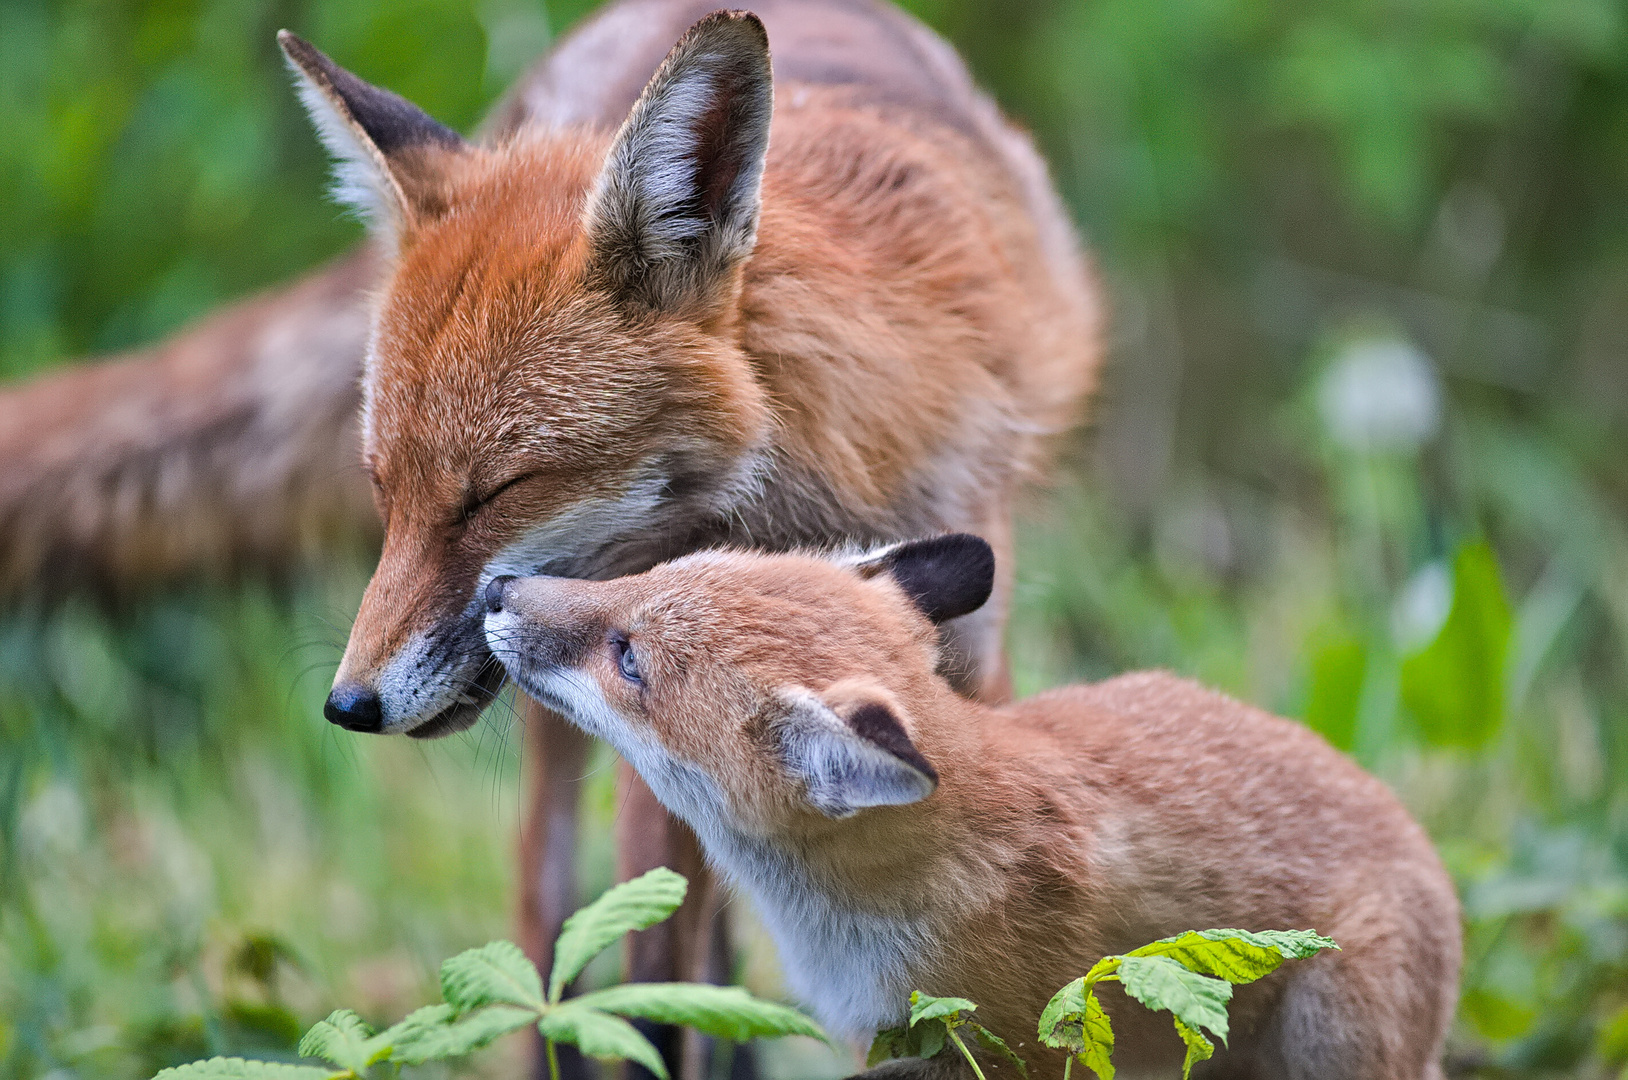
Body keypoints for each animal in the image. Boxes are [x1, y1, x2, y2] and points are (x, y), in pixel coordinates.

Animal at [0, 0, 1100, 1062]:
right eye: (382, 488)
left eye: (496, 492)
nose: (348, 705)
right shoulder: (656, 731)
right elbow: (656, 1002)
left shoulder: (959, 671)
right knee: (551, 941)